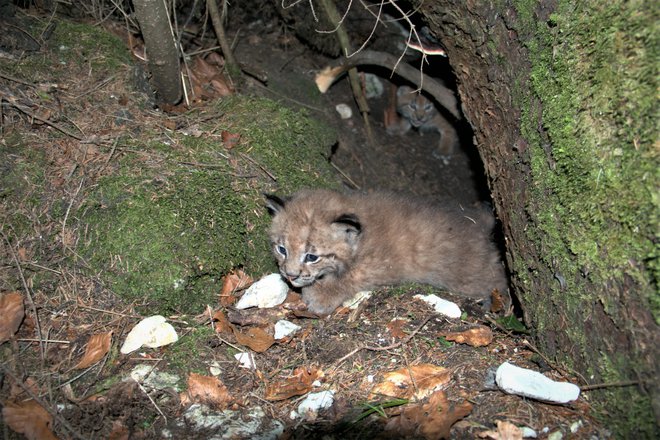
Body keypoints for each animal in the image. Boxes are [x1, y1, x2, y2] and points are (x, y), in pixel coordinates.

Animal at [266, 189, 508, 316]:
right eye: (282, 249)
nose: (290, 275)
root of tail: (480, 223)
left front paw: (320, 295)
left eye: (312, 257)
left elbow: (352, 276)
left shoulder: (384, 264)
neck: (360, 238)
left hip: (468, 276)